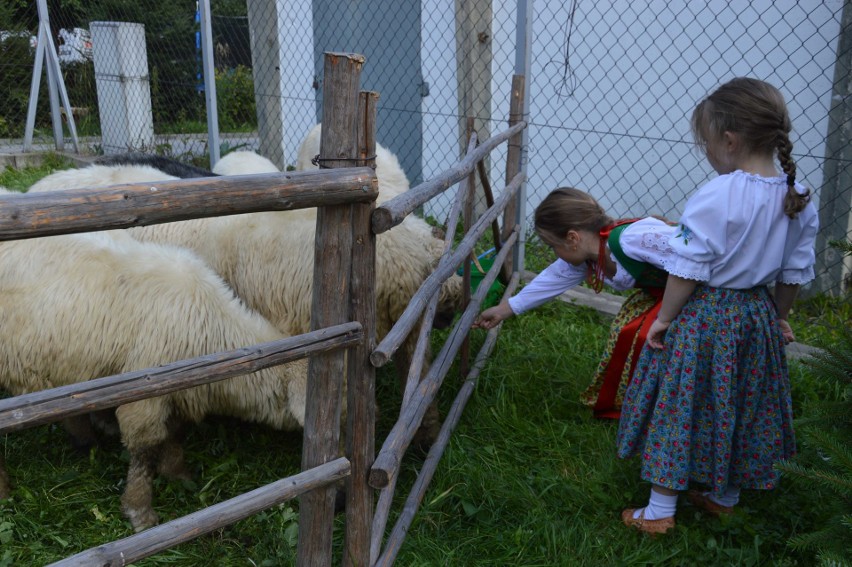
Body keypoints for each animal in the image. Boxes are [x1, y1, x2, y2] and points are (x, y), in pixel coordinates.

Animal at [0, 207, 310, 532]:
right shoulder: (144, 393)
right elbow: (145, 449)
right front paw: (140, 510)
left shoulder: (179, 390)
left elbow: (175, 433)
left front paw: (176, 472)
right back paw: (5, 489)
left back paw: (86, 442)